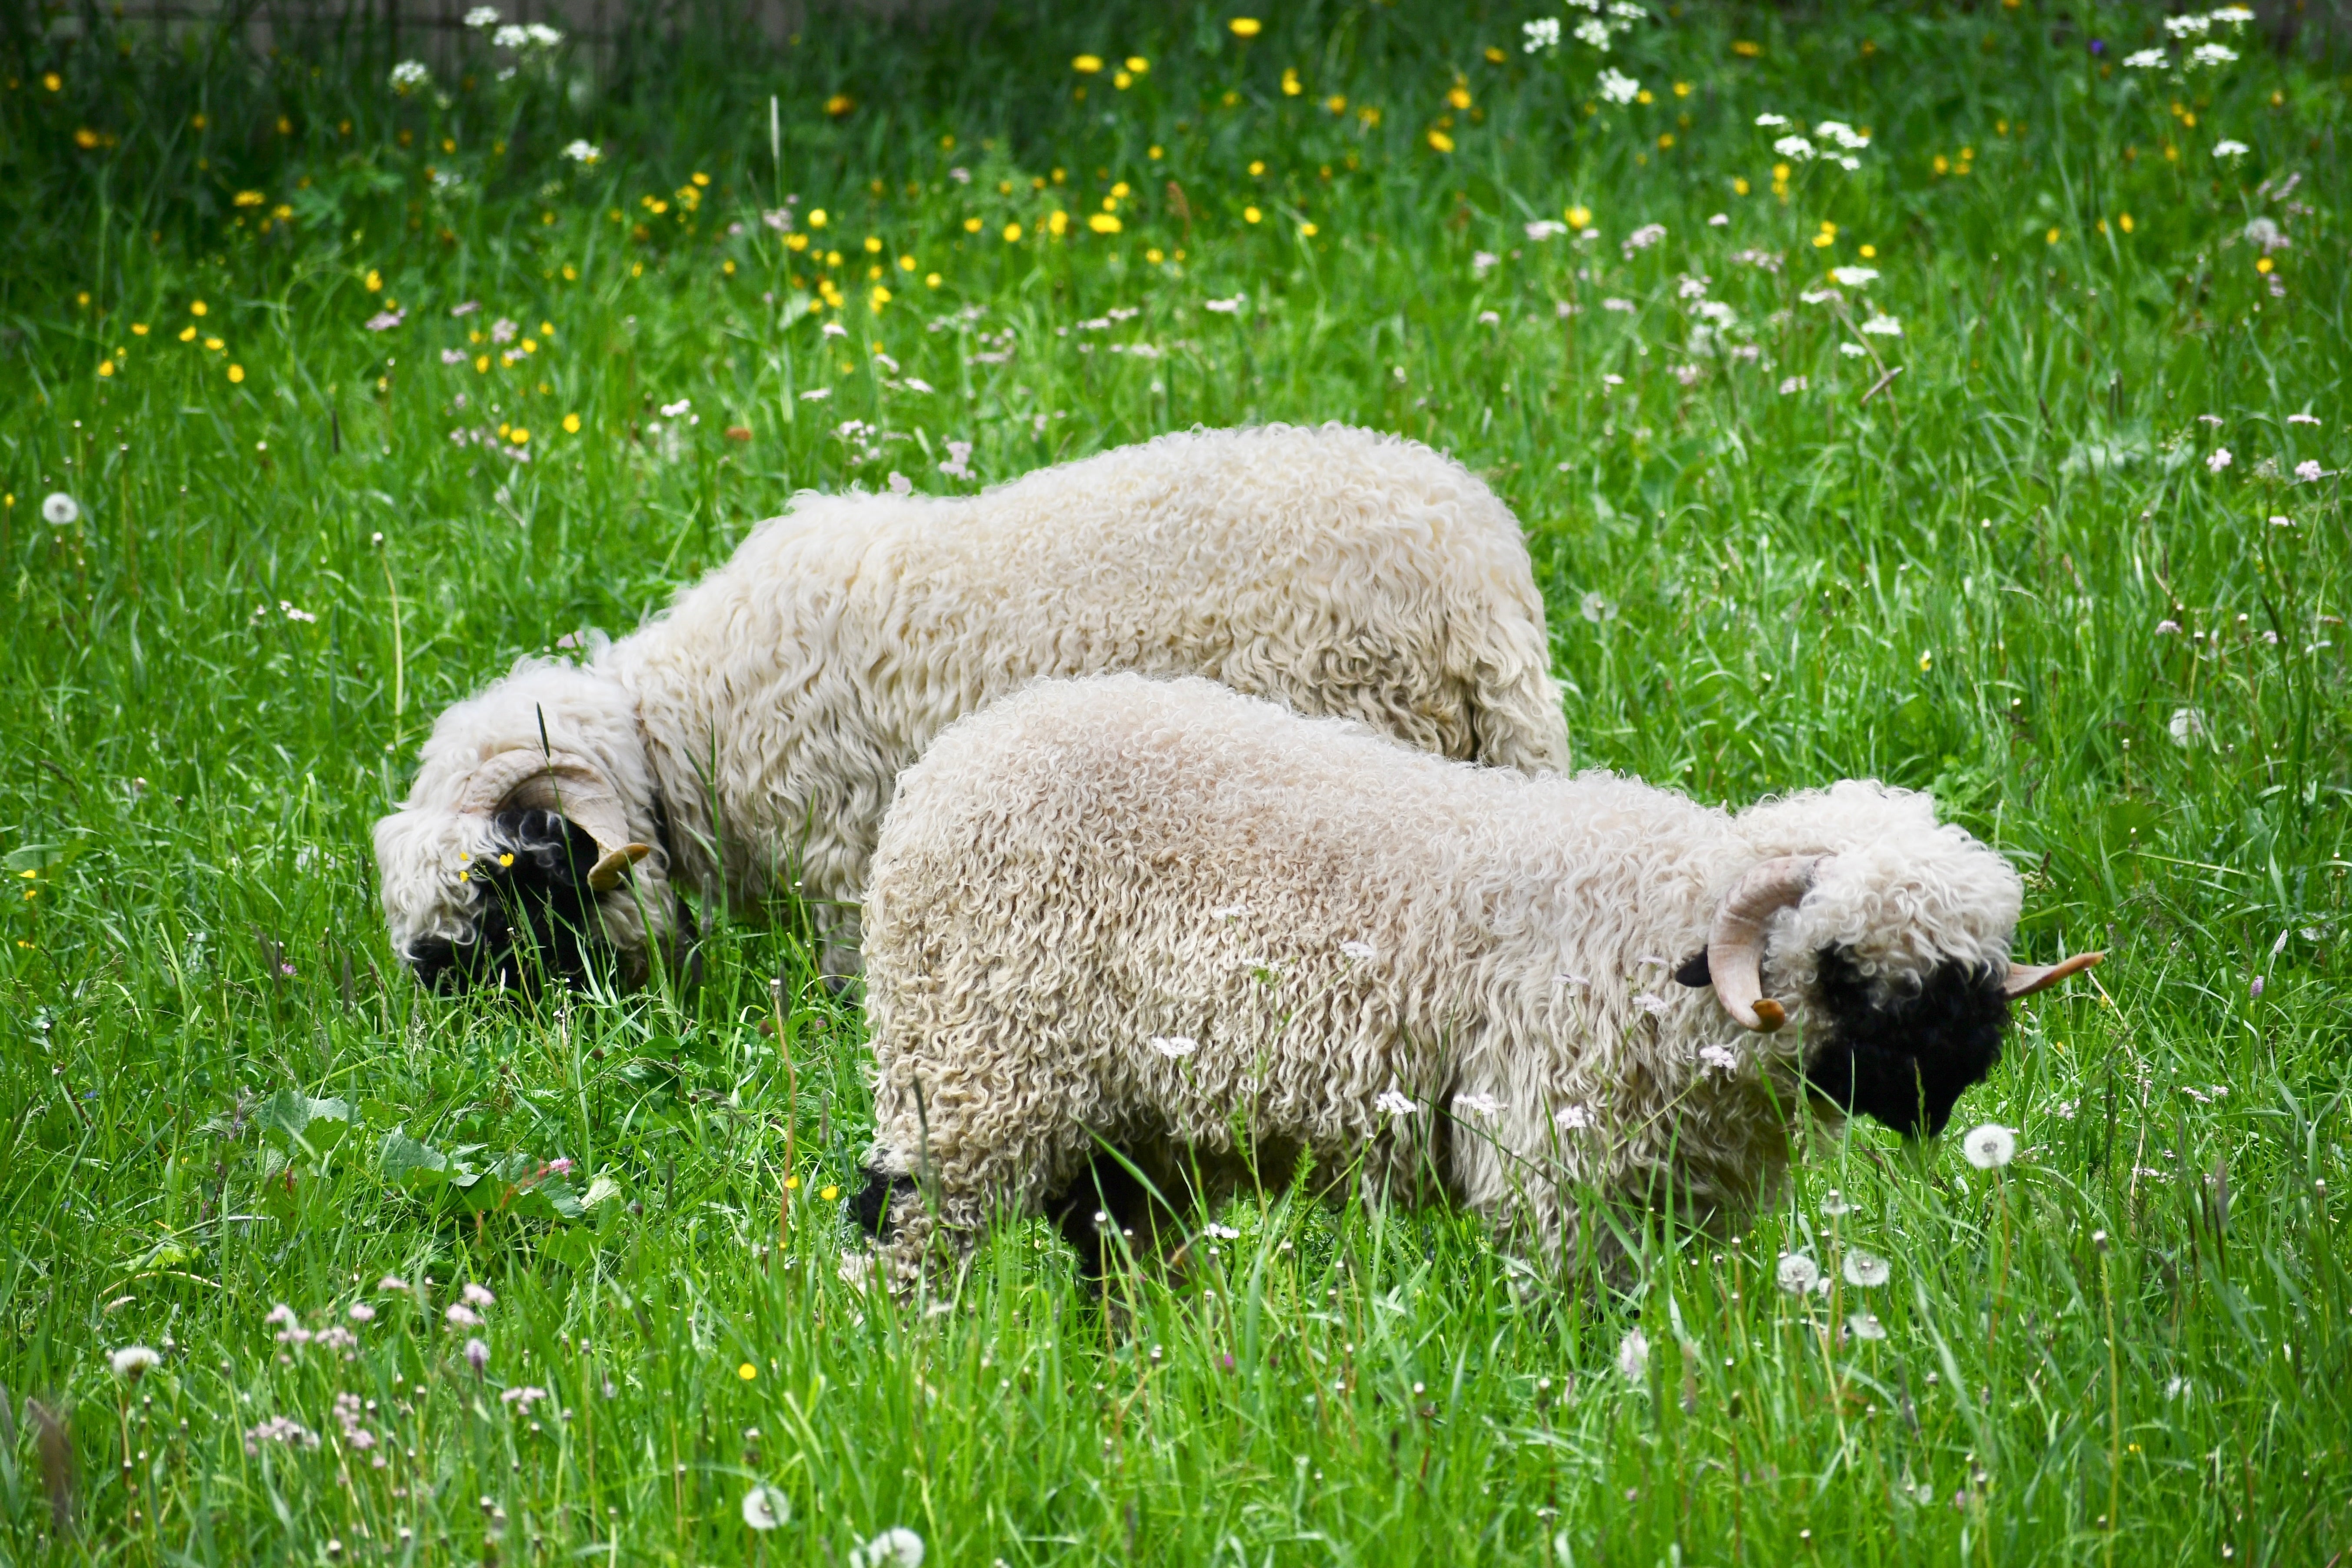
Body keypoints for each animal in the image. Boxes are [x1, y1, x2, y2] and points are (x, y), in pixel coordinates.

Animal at [849, 673, 2099, 1290]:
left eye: (1972, 969)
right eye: (1843, 963)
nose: (1952, 1073)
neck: (1660, 937)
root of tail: (953, 757)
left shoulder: (1681, 1198)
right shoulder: (1553, 1168)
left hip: (1126, 1121)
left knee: (1113, 1248)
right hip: (971, 1068)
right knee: (904, 1228)